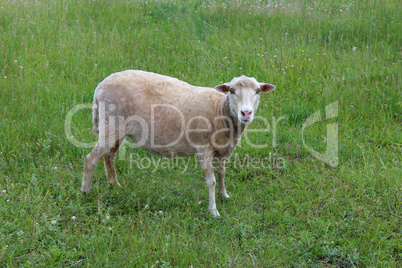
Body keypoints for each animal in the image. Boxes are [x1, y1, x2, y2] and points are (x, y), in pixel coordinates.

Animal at [81, 70, 276, 217]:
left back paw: (114, 185)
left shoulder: (223, 150)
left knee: (109, 155)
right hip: (110, 123)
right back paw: (85, 192)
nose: (246, 113)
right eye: (232, 91)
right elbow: (211, 181)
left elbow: (222, 173)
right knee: (91, 158)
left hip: (117, 128)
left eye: (258, 91)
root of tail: (100, 87)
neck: (220, 110)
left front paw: (224, 195)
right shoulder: (203, 148)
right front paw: (213, 211)